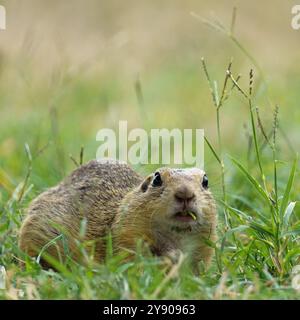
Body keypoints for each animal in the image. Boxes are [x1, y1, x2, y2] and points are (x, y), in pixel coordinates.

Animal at [18, 160, 217, 270]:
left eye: (205, 181)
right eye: (157, 178)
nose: (185, 193)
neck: (175, 238)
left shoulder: (204, 247)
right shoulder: (128, 235)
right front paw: (170, 259)